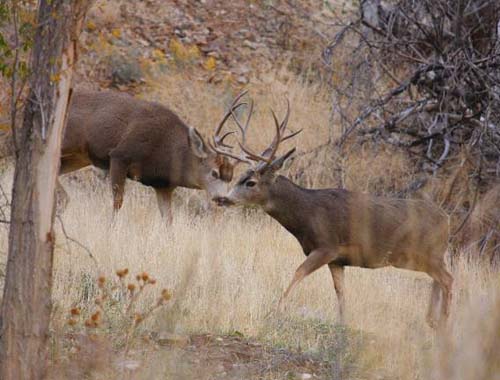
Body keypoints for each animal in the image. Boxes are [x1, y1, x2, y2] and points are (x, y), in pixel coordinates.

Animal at [60, 88, 246, 223]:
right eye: (214, 172)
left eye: (231, 177)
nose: (222, 199)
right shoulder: (120, 155)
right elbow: (117, 203)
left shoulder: (163, 186)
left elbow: (168, 219)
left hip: (76, 158)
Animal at [215, 102, 454, 328]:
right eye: (239, 176)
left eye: (250, 182)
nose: (222, 199)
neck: (307, 213)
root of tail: (447, 219)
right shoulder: (338, 260)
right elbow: (340, 291)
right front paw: (342, 322)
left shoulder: (326, 246)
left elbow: (298, 272)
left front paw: (276, 310)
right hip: (427, 257)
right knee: (439, 280)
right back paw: (432, 321)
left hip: (426, 254)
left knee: (448, 279)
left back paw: (444, 324)